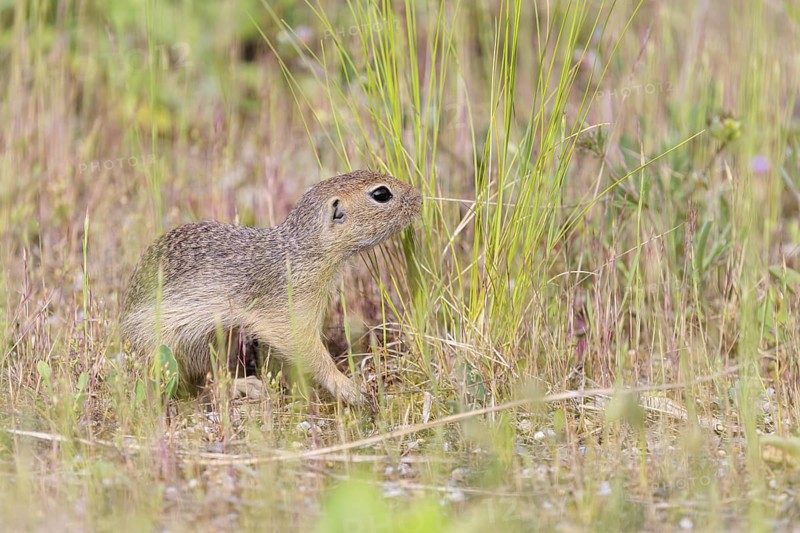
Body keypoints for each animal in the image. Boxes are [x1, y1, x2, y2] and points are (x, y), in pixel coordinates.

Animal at [120, 170, 422, 406]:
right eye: (381, 194)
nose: (419, 197)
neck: (301, 251)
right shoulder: (288, 312)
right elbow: (305, 348)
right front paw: (346, 387)